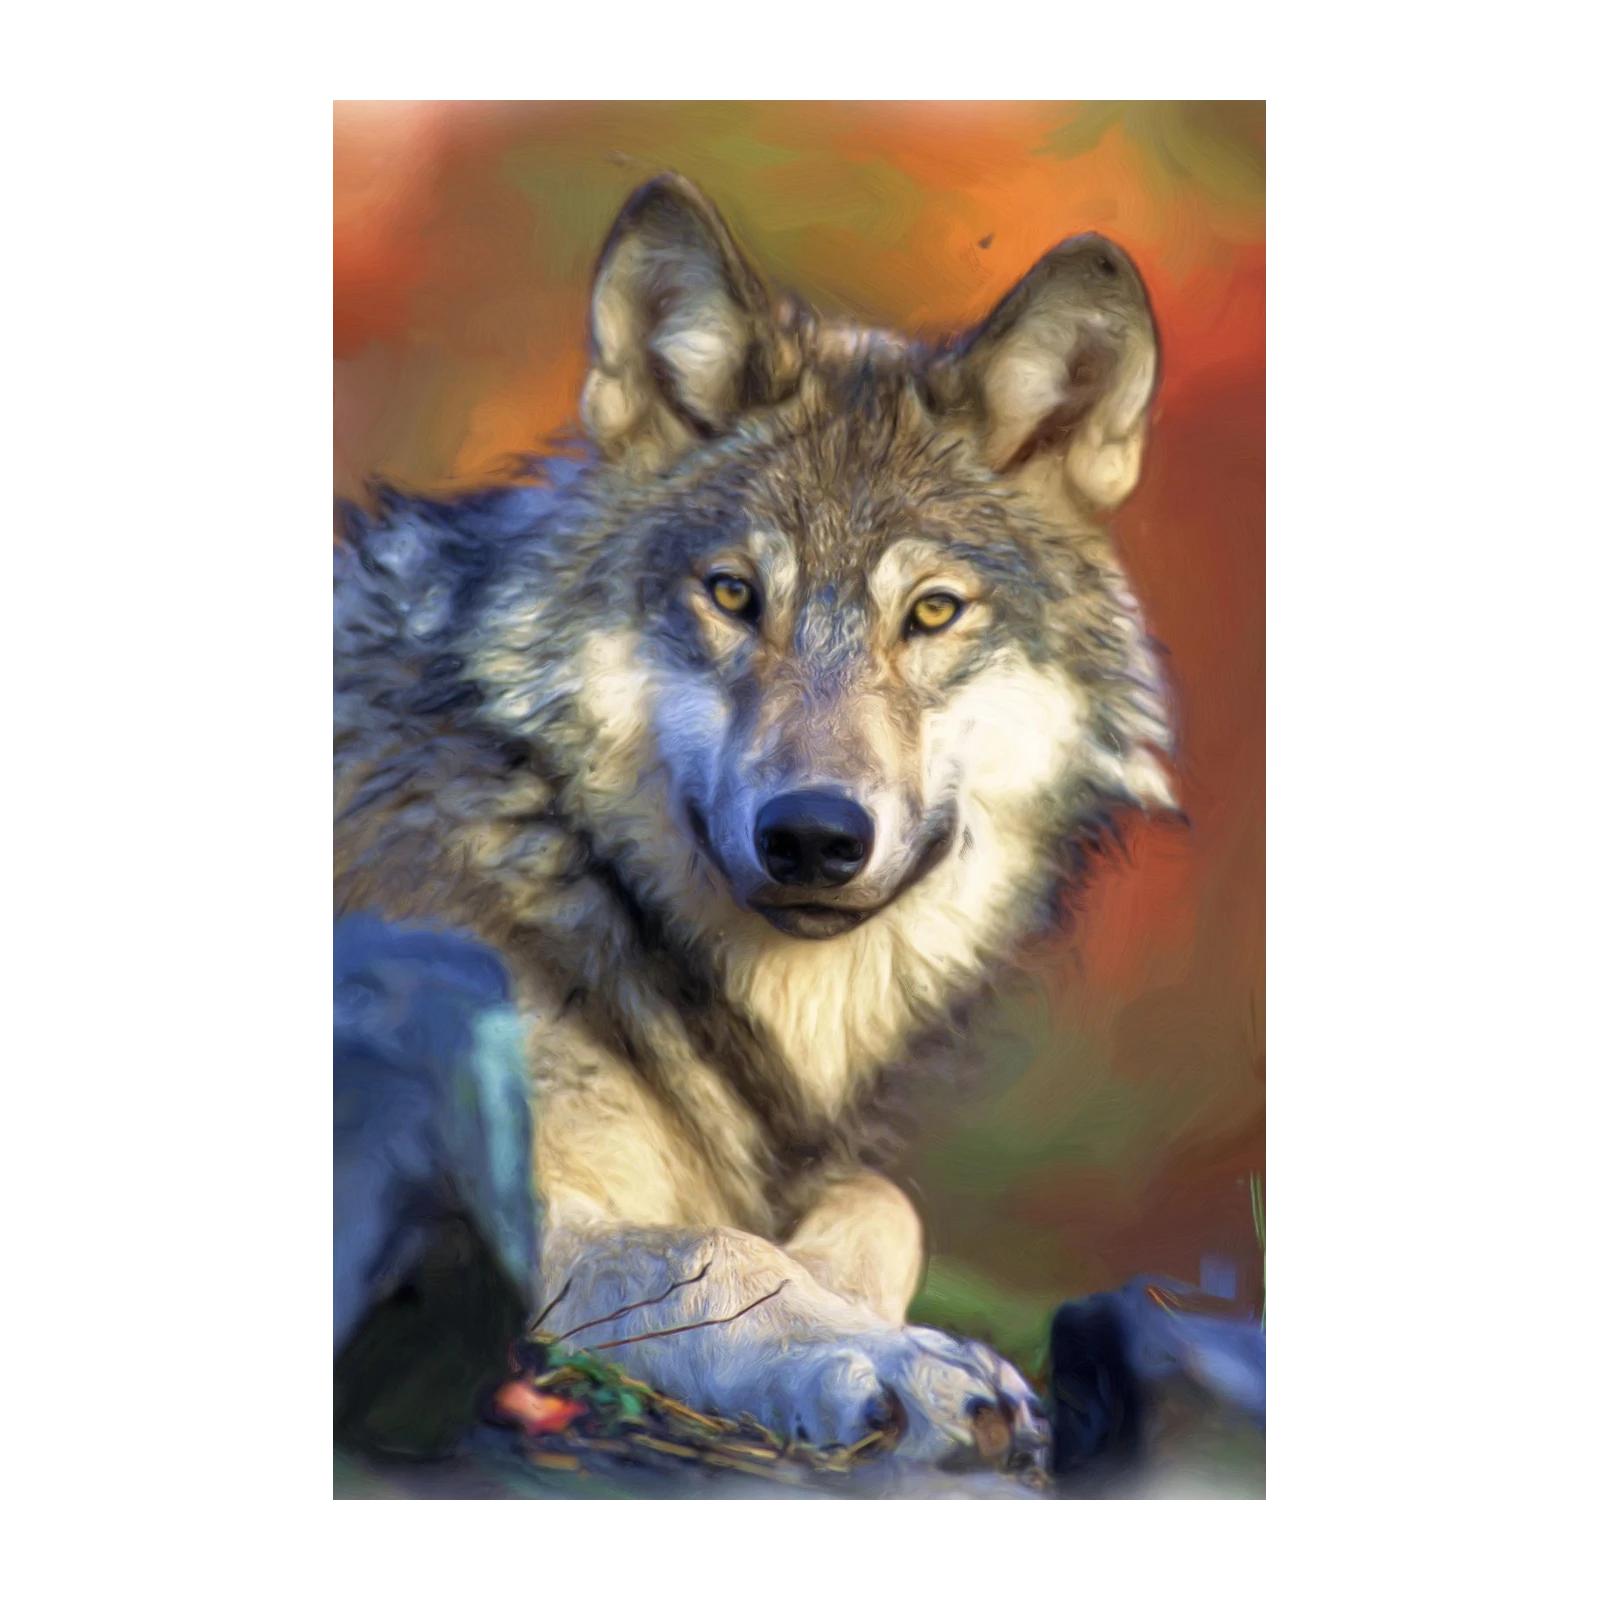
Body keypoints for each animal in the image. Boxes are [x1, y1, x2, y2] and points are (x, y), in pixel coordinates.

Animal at [330, 174, 1176, 1471]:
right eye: (733, 594)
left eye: (932, 612)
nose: (814, 836)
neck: (566, 856)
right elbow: (706, 1249)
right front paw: (887, 1359)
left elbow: (881, 1204)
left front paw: (854, 1299)